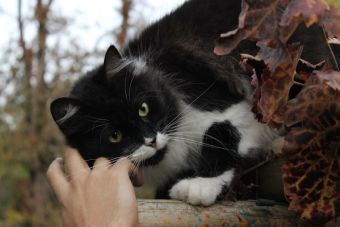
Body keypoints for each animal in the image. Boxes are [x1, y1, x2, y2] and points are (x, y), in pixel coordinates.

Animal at [51, 0, 278, 206]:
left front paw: (200, 185)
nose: (151, 140)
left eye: (143, 109)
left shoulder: (236, 108)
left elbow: (219, 134)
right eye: (115, 136)